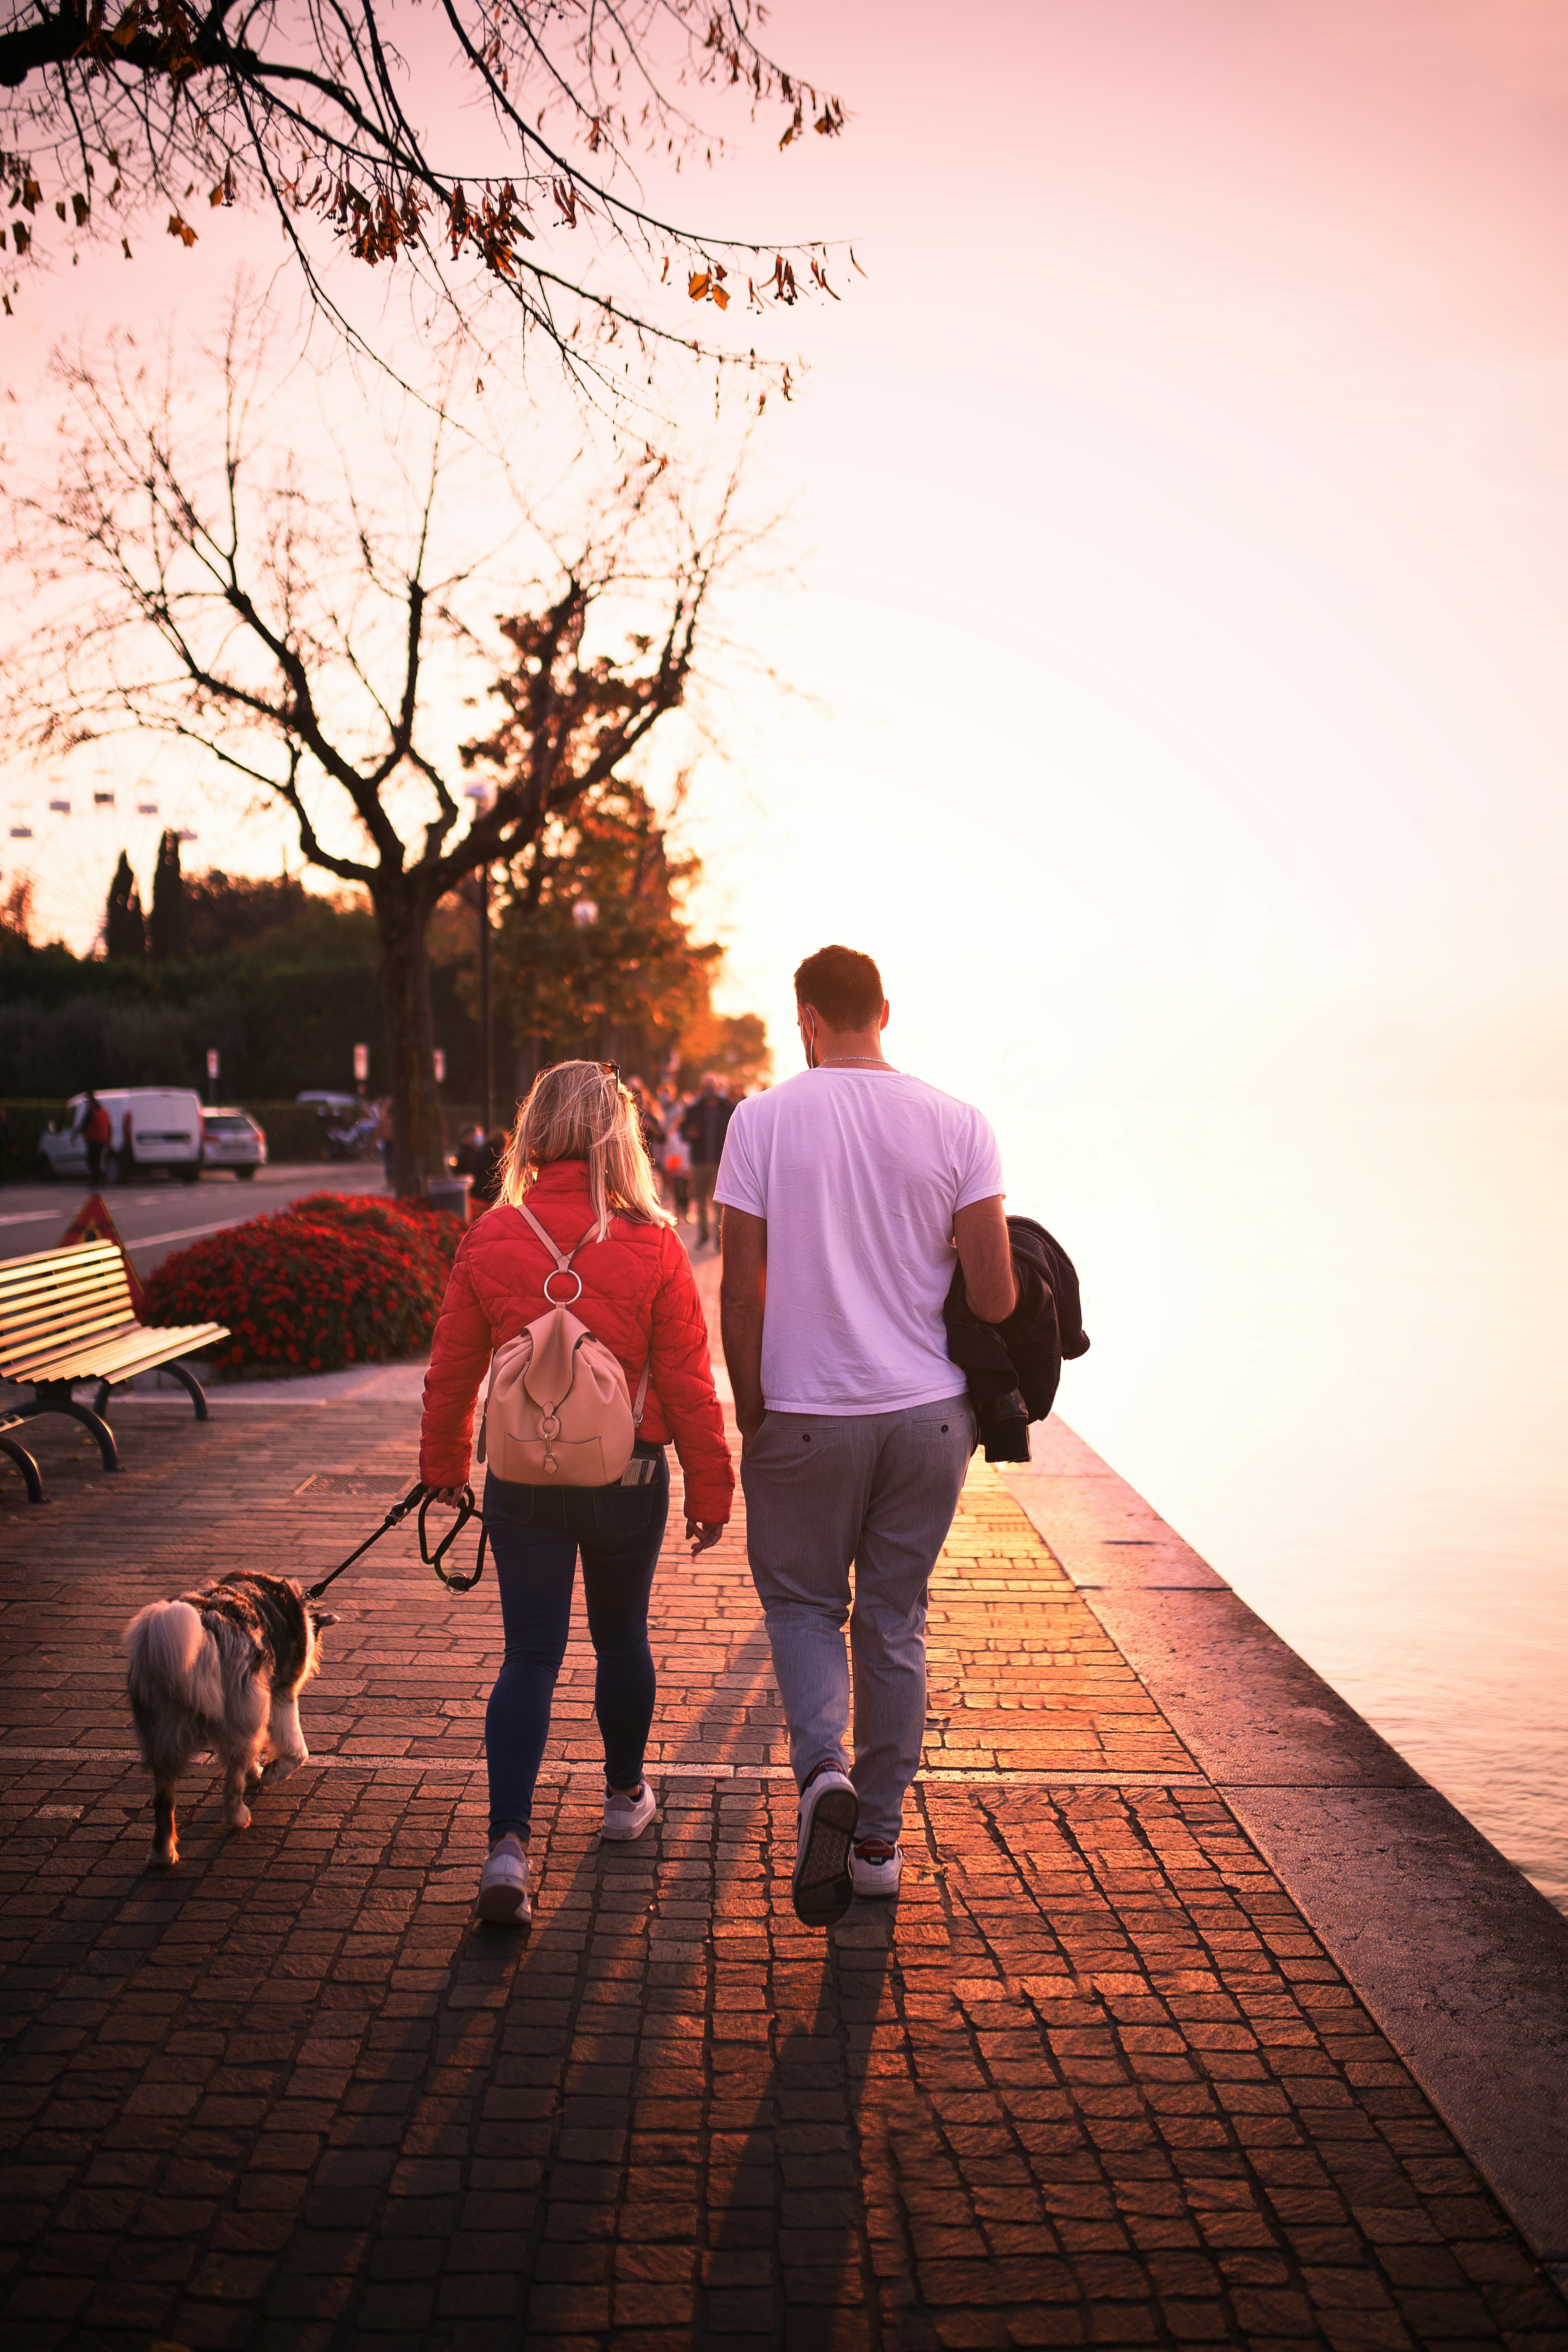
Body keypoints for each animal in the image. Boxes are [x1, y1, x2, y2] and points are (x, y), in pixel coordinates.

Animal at [124, 1571, 338, 1863]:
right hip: (241, 1708)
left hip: (164, 1729)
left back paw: (162, 1854)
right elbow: (297, 1751)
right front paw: (271, 1773)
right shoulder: (281, 1693)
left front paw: (258, 1773)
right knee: (232, 1783)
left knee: (163, 1799)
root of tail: (205, 1625)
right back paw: (238, 1816)